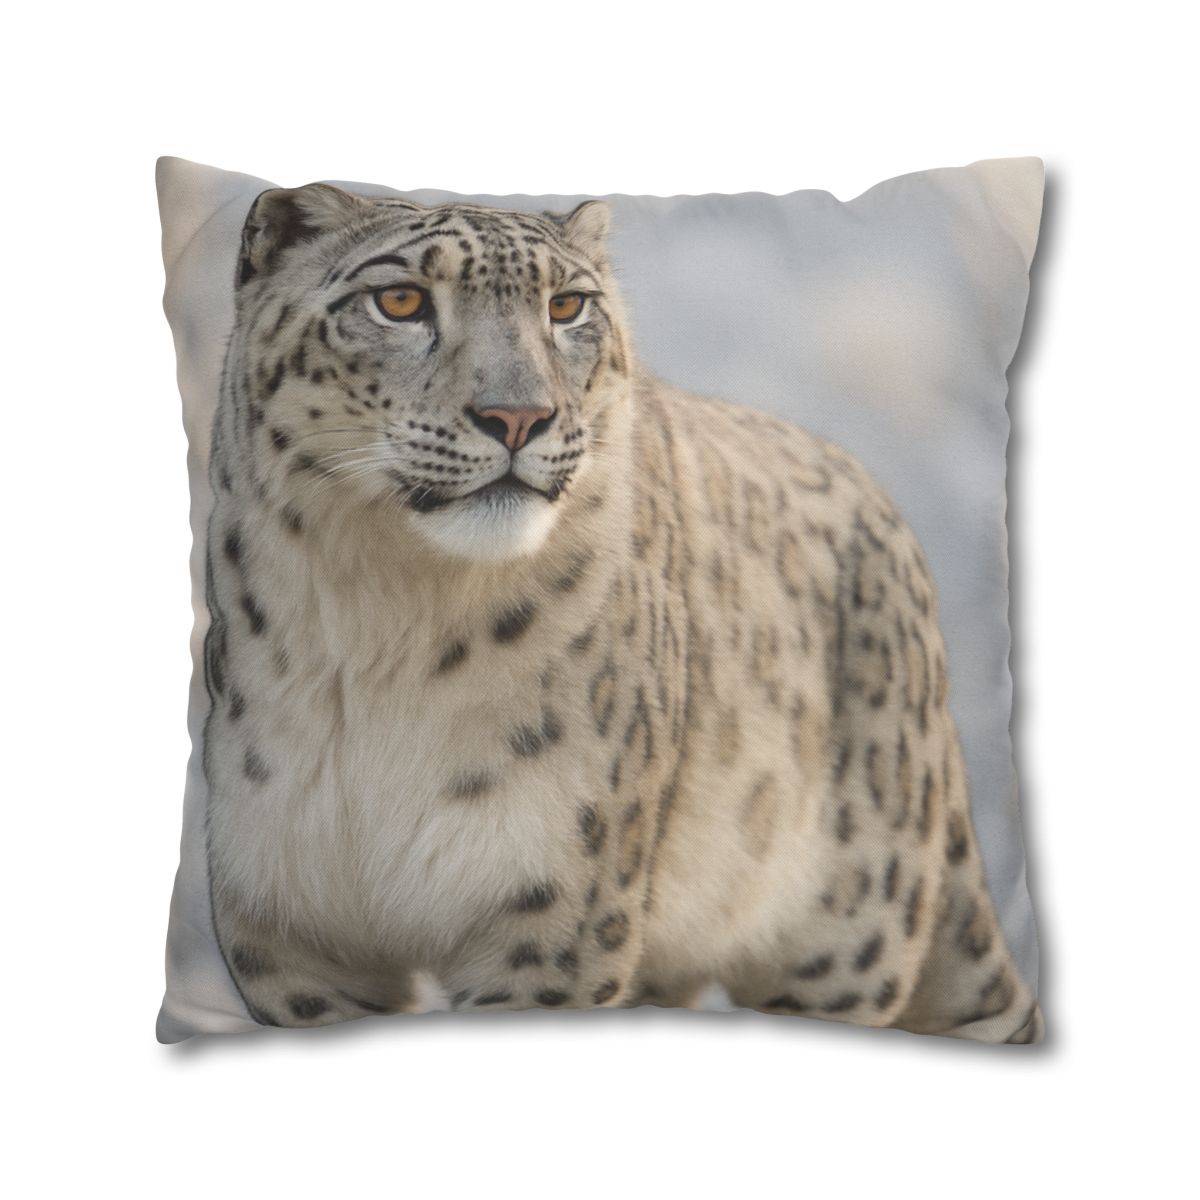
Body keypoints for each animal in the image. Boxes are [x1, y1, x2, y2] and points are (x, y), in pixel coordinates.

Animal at [200, 181, 1041, 1043]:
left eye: (567, 306)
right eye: (399, 300)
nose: (518, 417)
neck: (383, 625)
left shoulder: (553, 919)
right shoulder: (291, 934)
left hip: (843, 940)